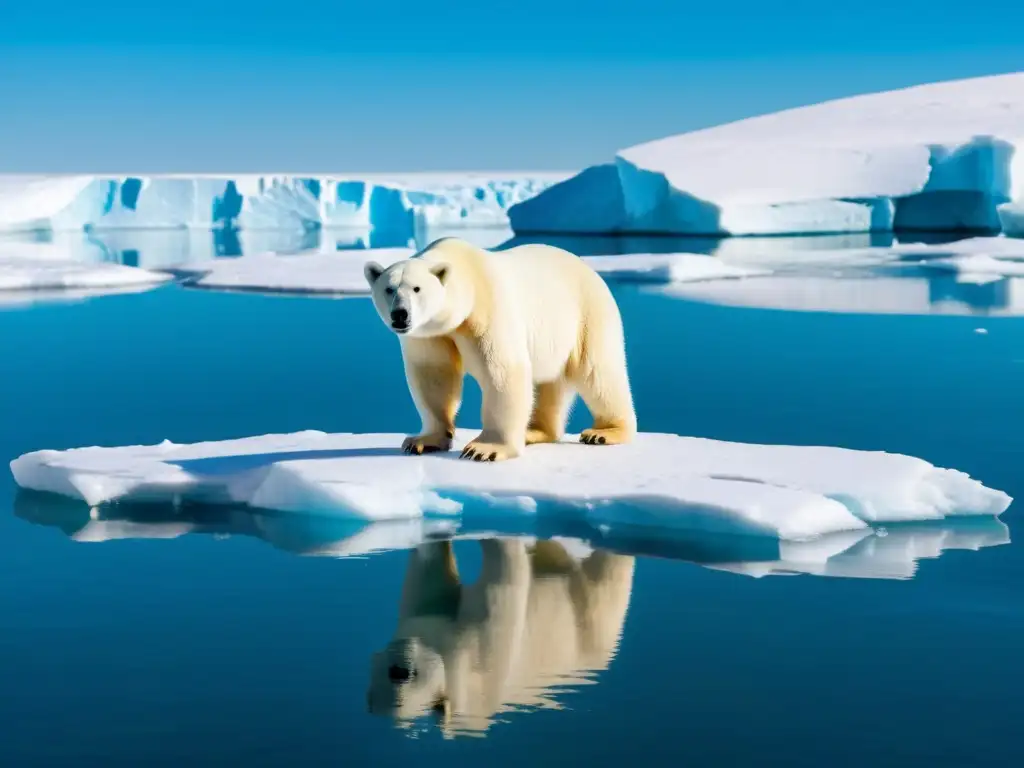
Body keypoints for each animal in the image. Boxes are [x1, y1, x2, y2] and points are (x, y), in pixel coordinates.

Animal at [360, 237, 630, 460]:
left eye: (417, 288)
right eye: (389, 289)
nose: (400, 314)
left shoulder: (487, 311)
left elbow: (502, 372)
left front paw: (483, 449)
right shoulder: (429, 334)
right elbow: (434, 375)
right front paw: (423, 440)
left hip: (586, 316)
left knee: (597, 373)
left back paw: (604, 432)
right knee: (549, 383)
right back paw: (534, 432)